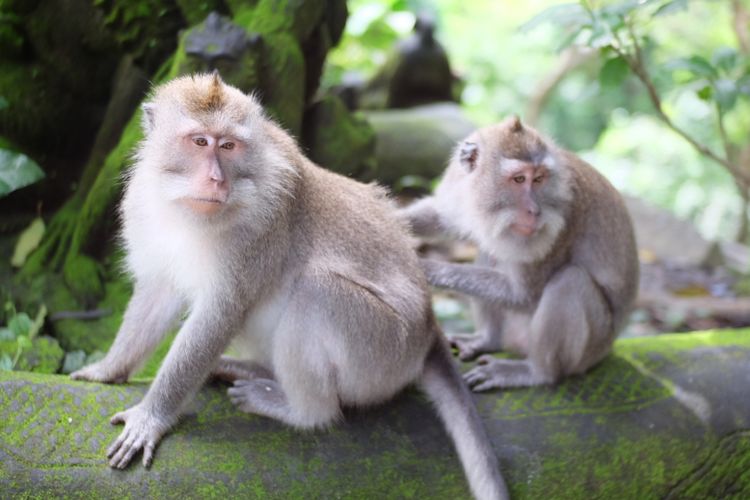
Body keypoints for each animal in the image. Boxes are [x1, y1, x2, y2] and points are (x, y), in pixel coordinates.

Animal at [72, 72, 506, 498]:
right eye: (199, 142)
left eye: (228, 146)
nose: (215, 180)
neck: (185, 209)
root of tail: (430, 330)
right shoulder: (145, 210)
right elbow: (157, 293)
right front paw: (107, 369)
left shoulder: (259, 229)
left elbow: (220, 314)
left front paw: (152, 416)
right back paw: (248, 369)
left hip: (383, 354)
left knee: (315, 293)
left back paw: (300, 410)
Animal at [402, 116, 636, 390]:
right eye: (519, 179)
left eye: (539, 179)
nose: (534, 211)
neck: (476, 197)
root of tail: (609, 346)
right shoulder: (457, 186)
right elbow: (442, 217)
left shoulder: (565, 219)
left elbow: (524, 294)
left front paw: (426, 268)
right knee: (489, 251)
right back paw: (488, 340)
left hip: (592, 347)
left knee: (570, 281)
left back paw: (536, 372)